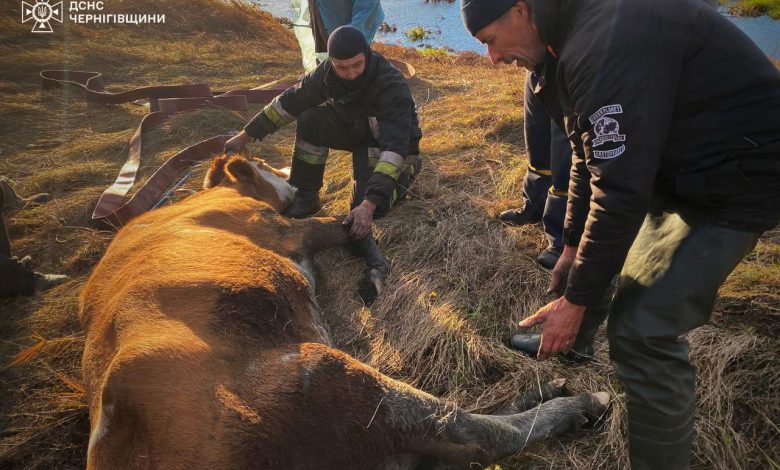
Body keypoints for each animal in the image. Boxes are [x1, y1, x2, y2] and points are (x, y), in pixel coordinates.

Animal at [77, 156, 608, 468]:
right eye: (266, 163)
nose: (293, 181)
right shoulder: (287, 230)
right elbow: (349, 223)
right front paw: (374, 265)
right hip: (334, 374)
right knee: (470, 434)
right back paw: (580, 403)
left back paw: (547, 390)